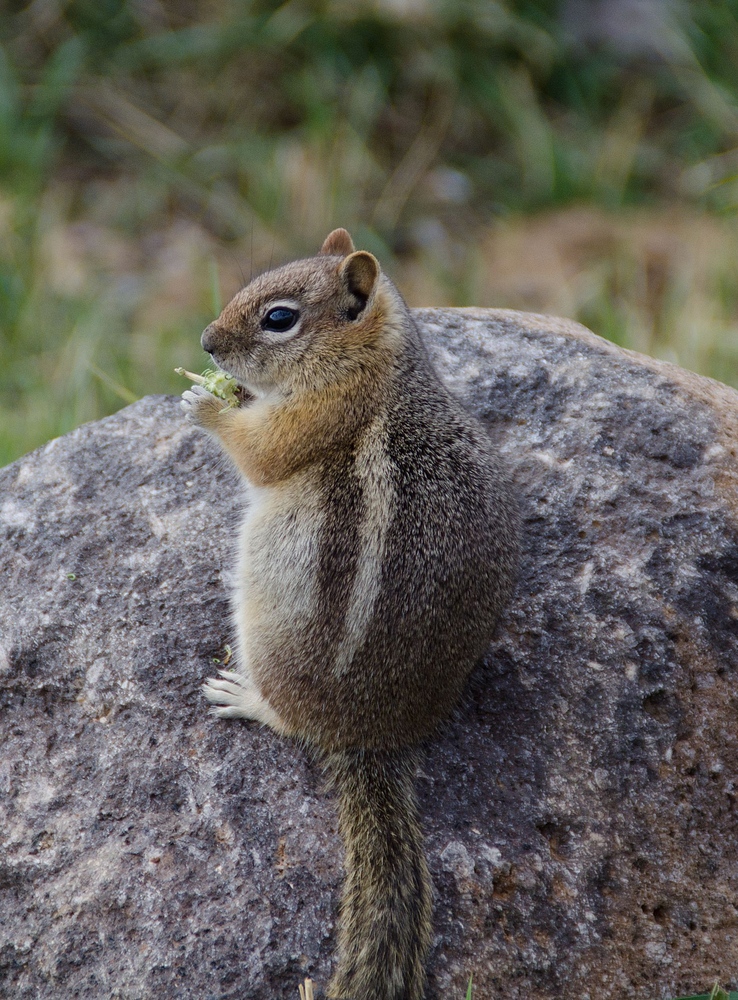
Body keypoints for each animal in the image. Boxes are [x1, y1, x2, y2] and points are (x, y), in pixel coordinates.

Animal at [181, 229, 516, 1000]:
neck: (379, 364)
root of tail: (369, 739)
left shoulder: (316, 415)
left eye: (278, 318)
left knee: (289, 720)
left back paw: (243, 694)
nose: (208, 342)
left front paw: (206, 403)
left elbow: (258, 452)